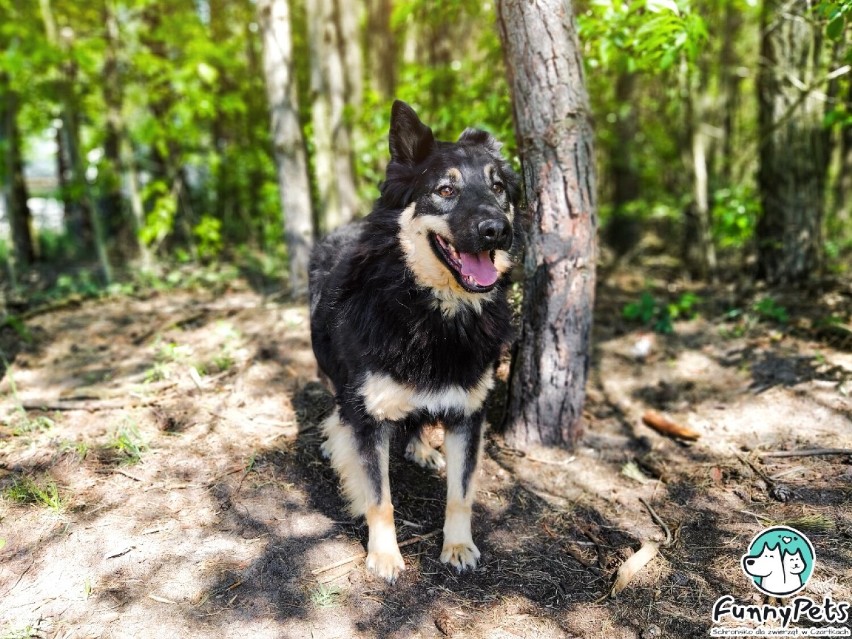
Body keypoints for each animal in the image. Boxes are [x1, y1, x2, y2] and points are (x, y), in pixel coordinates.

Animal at [306, 101, 520, 584]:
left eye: (498, 188)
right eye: (445, 189)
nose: (498, 230)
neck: (431, 311)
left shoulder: (468, 413)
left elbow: (461, 493)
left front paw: (458, 545)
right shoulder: (368, 414)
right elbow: (379, 498)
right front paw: (385, 555)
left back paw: (421, 446)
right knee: (335, 403)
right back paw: (333, 437)